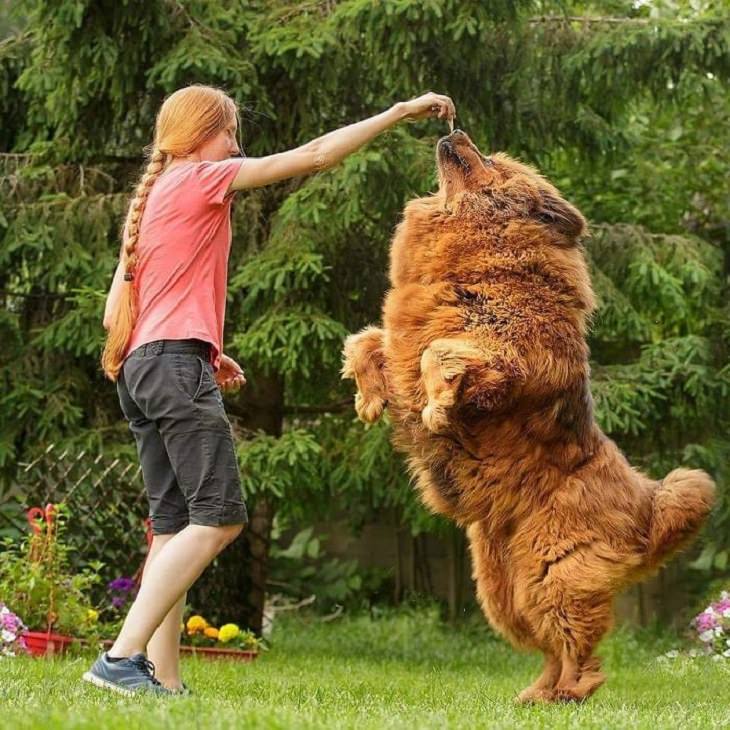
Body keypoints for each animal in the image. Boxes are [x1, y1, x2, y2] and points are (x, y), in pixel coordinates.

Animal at [340, 129, 712, 700]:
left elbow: (439, 355)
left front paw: (437, 409)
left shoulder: (505, 361)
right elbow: (368, 341)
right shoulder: (403, 340)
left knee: (580, 650)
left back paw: (572, 693)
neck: (484, 259)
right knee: (549, 647)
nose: (454, 130)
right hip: (501, 588)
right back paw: (536, 695)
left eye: (491, 161)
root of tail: (648, 503)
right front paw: (369, 398)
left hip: (553, 572)